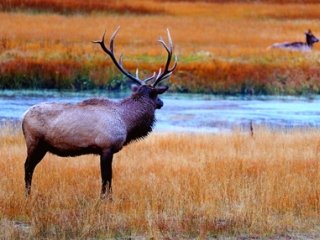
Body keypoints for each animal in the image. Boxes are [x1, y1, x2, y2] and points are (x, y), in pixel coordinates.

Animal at [22, 26, 178, 199]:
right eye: (156, 95)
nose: (161, 103)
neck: (127, 122)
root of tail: (23, 116)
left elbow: (107, 178)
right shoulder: (106, 147)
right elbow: (106, 178)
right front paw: (105, 199)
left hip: (41, 146)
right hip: (34, 142)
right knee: (27, 167)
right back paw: (27, 195)